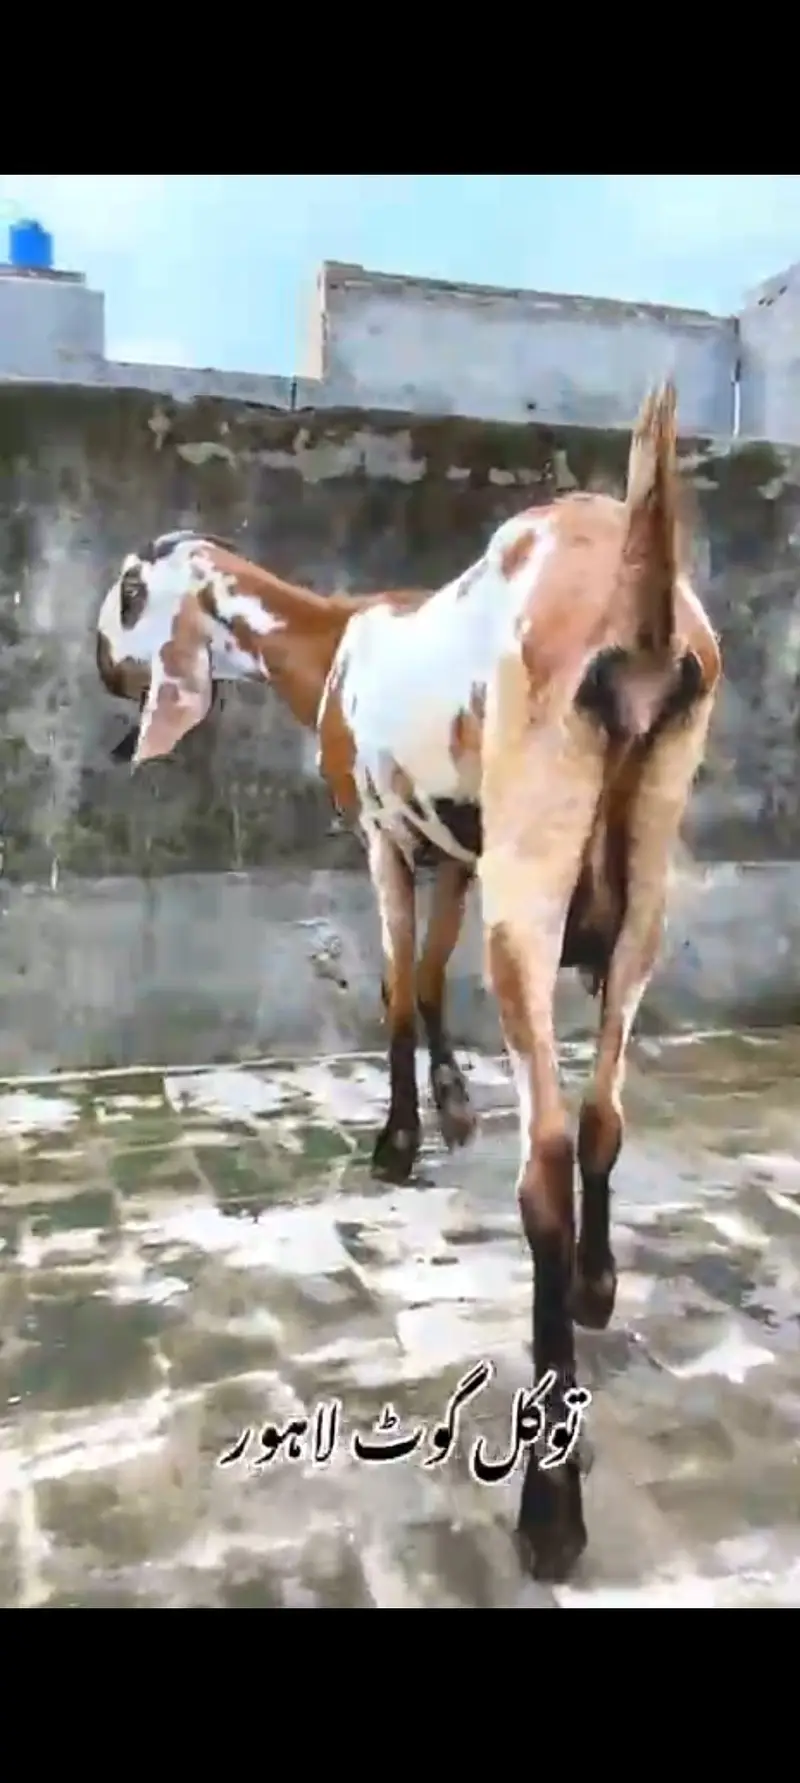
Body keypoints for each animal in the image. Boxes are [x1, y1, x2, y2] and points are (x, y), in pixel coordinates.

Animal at [95, 381, 721, 1581]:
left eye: (132, 592)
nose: (99, 665)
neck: (338, 640)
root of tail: (643, 602)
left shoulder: (390, 839)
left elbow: (391, 982)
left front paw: (395, 1140)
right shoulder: (454, 853)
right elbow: (427, 977)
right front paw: (451, 1102)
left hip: (531, 876)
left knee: (547, 1163)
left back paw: (550, 1507)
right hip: (646, 889)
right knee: (604, 1111)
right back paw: (595, 1283)